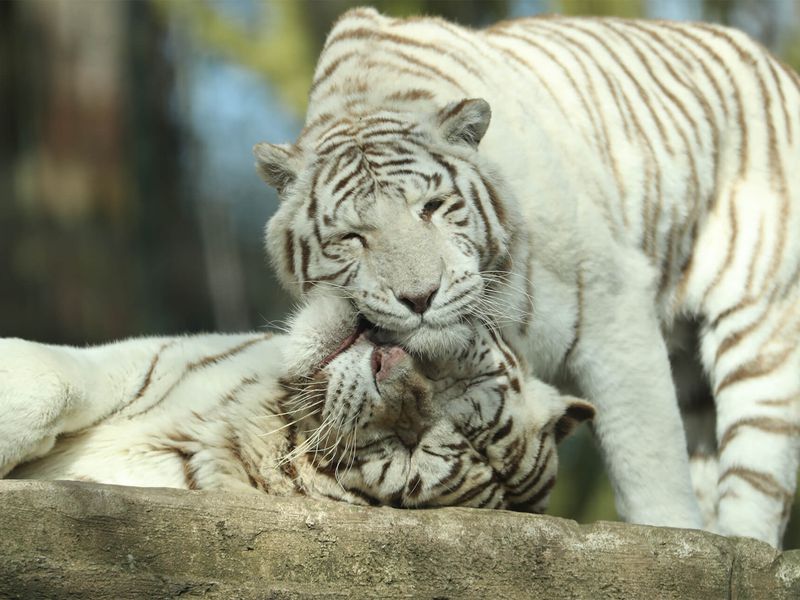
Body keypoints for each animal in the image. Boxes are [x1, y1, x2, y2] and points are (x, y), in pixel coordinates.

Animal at [253, 8, 800, 547]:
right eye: (352, 237)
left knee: (755, 480)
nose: (420, 297)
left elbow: (651, 466)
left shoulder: (613, 309)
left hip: (761, 327)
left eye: (432, 207)